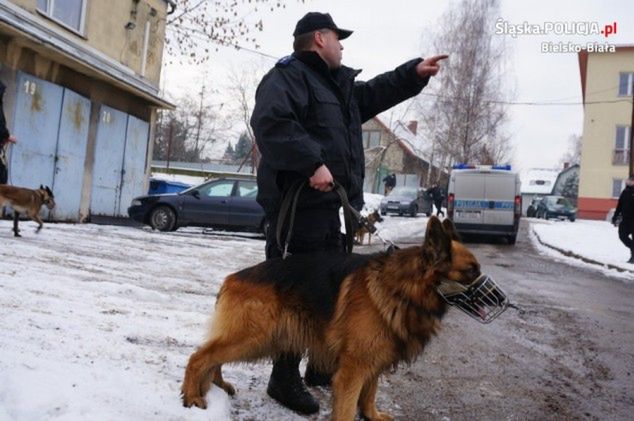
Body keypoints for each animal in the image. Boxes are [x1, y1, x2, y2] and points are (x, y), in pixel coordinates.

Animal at [181, 215, 484, 418]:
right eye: (471, 271)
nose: (496, 299)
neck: (404, 287)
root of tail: (231, 278)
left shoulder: (373, 359)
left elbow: (370, 393)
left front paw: (372, 415)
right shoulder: (352, 370)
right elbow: (348, 408)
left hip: (261, 340)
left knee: (213, 358)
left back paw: (217, 385)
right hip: (255, 338)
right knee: (200, 357)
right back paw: (192, 395)